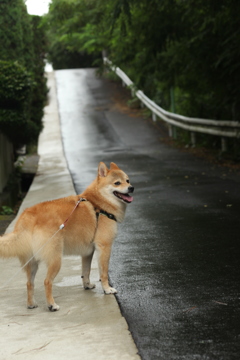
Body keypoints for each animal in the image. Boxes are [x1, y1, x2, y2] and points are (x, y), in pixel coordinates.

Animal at [0, 162, 133, 310]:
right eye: (117, 183)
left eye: (127, 180)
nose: (131, 188)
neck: (99, 203)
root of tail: (27, 216)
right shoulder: (104, 247)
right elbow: (103, 273)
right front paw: (107, 289)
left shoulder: (87, 253)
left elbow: (86, 271)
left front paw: (87, 285)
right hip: (56, 260)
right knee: (47, 282)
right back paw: (51, 305)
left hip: (32, 262)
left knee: (30, 283)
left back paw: (31, 304)